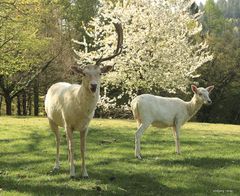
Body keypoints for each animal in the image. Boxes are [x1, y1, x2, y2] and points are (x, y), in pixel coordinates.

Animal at [45, 22, 124, 178]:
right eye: (84, 74)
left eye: (100, 73)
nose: (93, 85)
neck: (81, 112)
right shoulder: (68, 123)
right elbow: (72, 146)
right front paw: (72, 173)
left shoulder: (85, 127)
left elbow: (82, 148)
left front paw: (85, 173)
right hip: (51, 119)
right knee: (58, 140)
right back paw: (57, 165)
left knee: (65, 142)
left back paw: (68, 161)